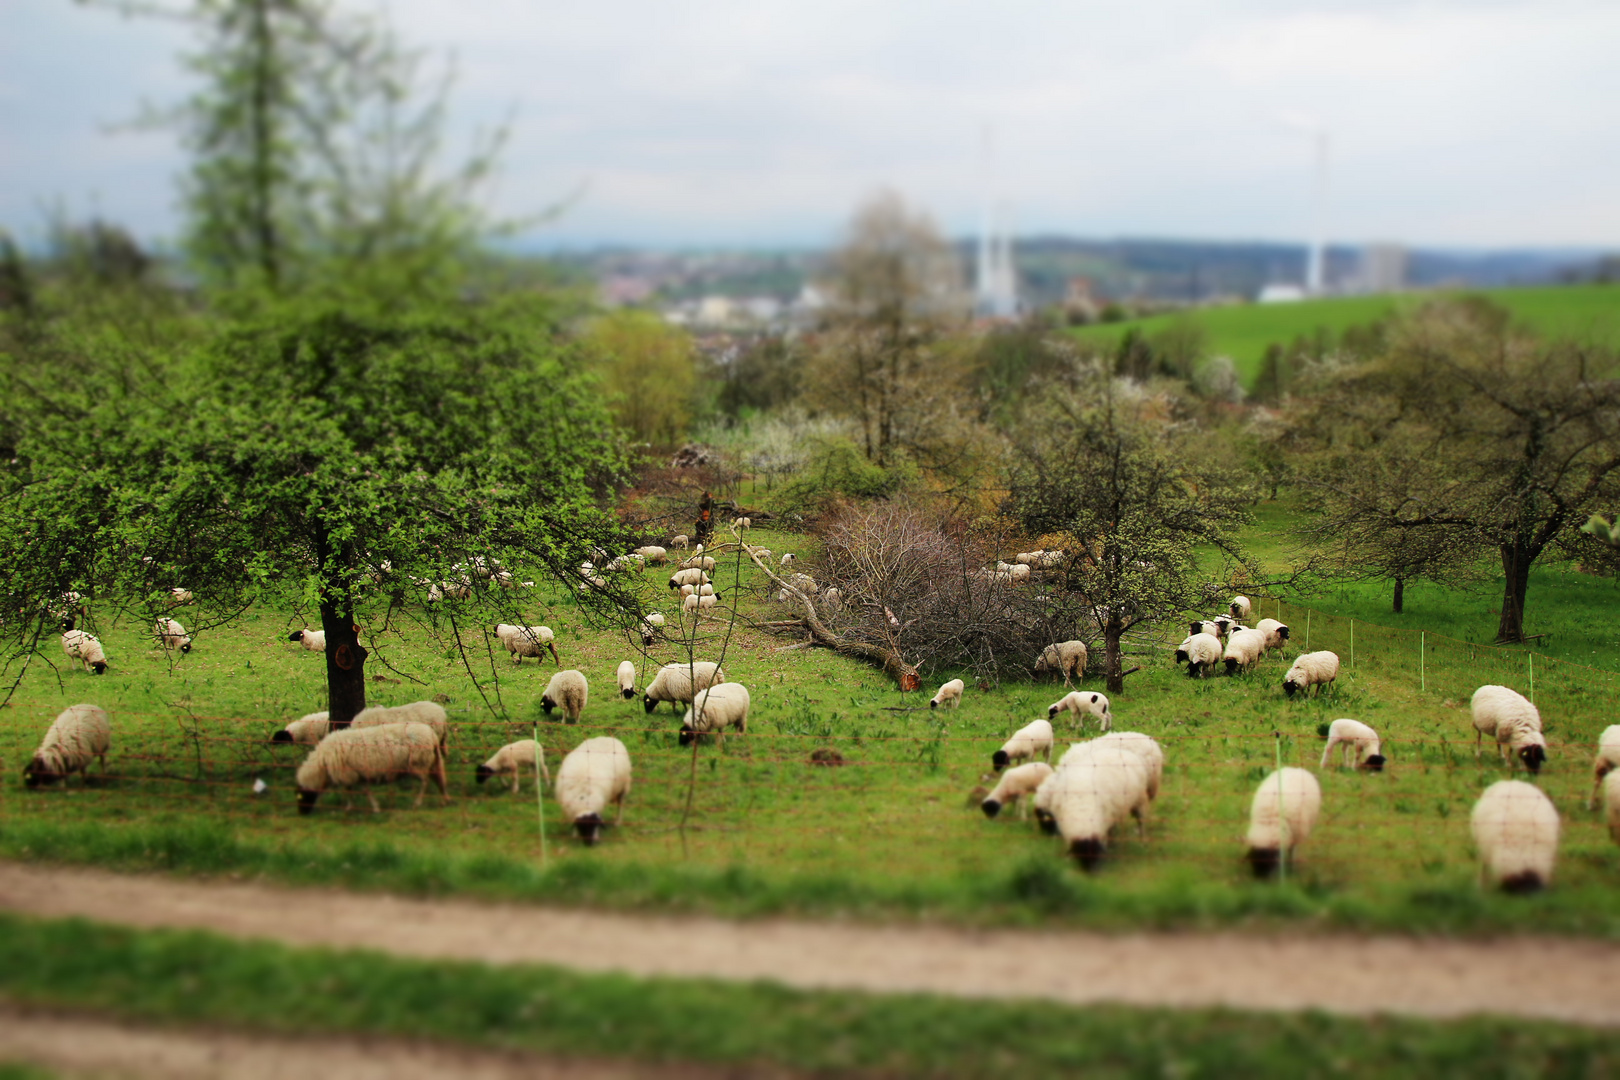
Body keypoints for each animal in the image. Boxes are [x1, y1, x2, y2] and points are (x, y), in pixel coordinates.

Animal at [294, 722, 447, 816]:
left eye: (301, 796)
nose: (302, 814)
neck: (322, 764)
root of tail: (432, 735)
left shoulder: (348, 773)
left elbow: (351, 791)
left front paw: (353, 808)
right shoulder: (359, 773)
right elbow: (362, 790)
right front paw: (372, 807)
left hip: (418, 764)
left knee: (425, 782)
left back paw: (417, 803)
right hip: (430, 762)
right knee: (438, 779)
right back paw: (443, 799)